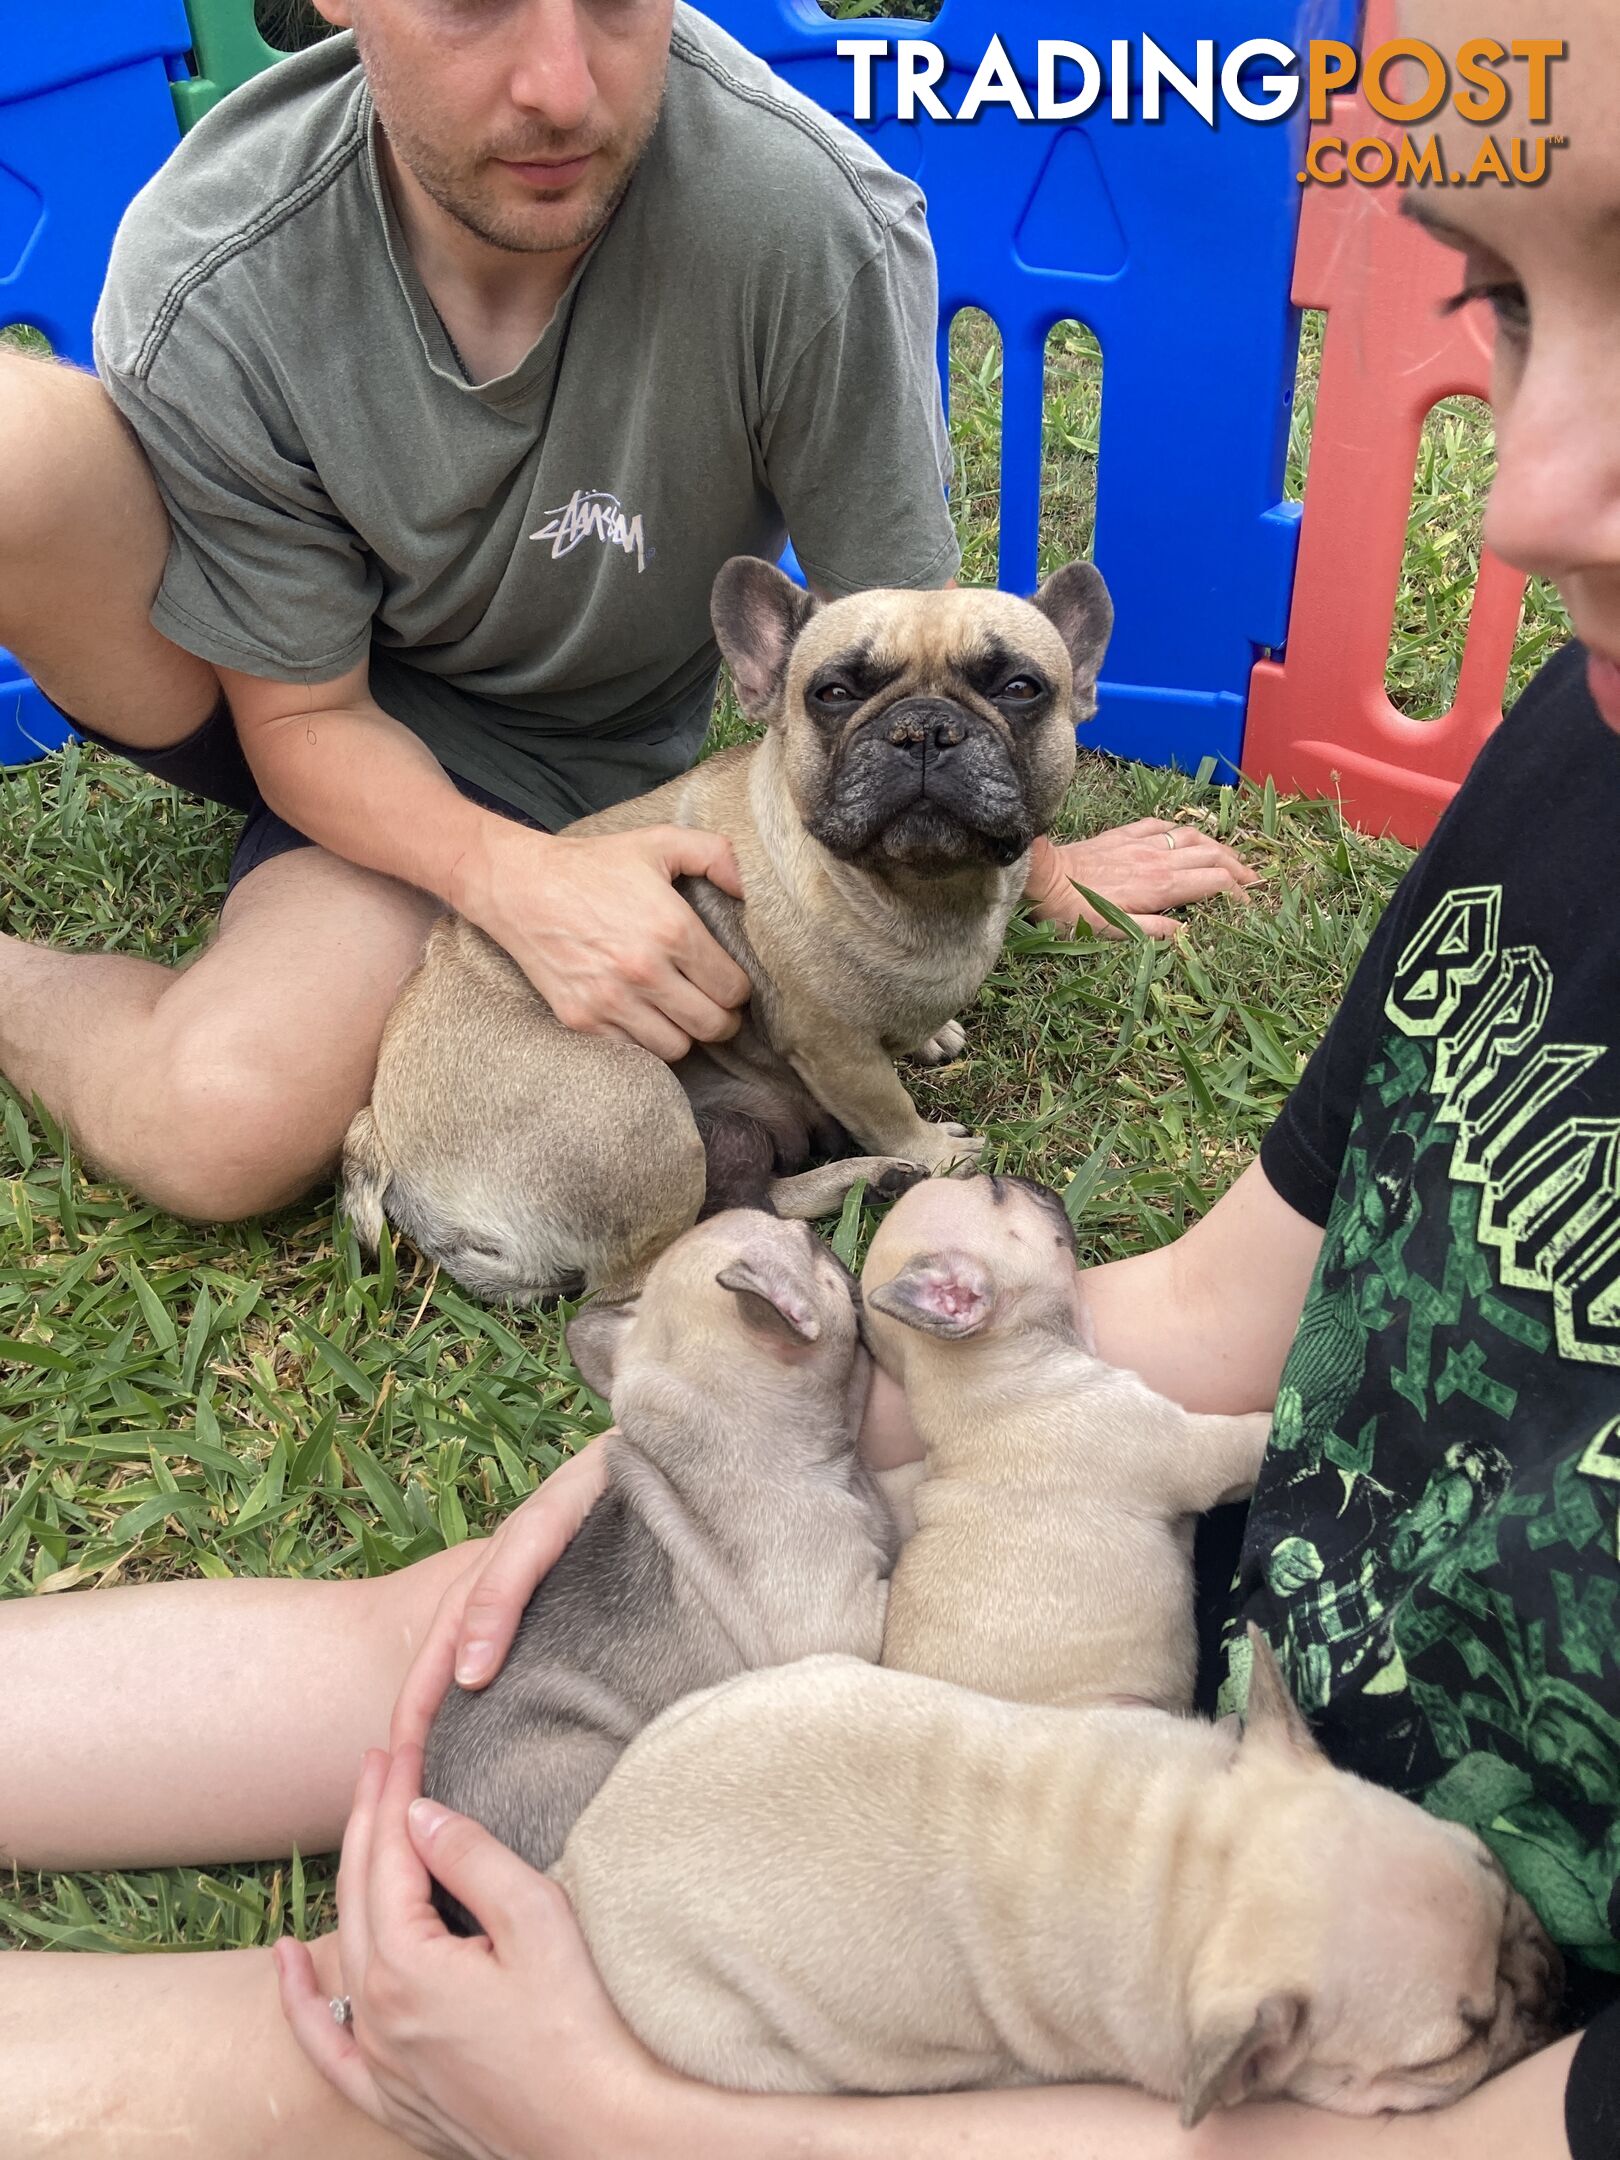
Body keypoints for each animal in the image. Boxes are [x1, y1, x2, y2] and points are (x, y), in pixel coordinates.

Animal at [336, 557, 1114, 1296]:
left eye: (1021, 688)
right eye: (833, 693)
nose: (924, 728)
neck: (922, 890)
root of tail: (384, 1135)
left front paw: (930, 1038)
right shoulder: (835, 1049)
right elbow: (886, 1104)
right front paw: (935, 1152)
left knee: (750, 1198)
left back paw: (867, 1180)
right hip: (638, 1107)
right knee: (639, 1274)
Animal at [557, 1641, 1563, 2099]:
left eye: (1494, 1866)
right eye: (1457, 2046)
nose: (1550, 1978)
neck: (1186, 1870)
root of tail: (583, 1852)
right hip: (744, 2041)